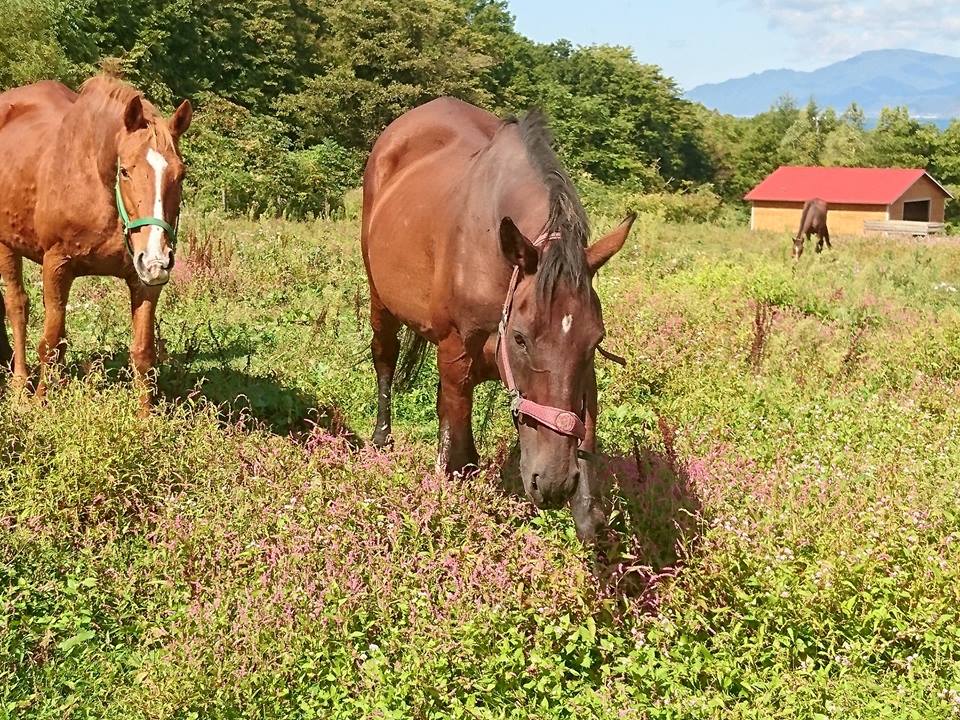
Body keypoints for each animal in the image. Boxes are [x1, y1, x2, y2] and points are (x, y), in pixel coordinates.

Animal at [0, 77, 193, 400]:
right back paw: (18, 385)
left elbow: (143, 354)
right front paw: (40, 403)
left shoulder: (143, 281)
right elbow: (51, 343)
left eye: (181, 175)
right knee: (17, 308)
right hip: (6, 245)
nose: (157, 259)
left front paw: (145, 413)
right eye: (125, 171)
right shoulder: (57, 265)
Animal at [360, 98, 632, 544]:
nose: (553, 482)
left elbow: (586, 438)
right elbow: (457, 453)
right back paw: (382, 438)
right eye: (520, 339)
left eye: (596, 341)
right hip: (380, 298)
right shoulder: (456, 349)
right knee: (385, 357)